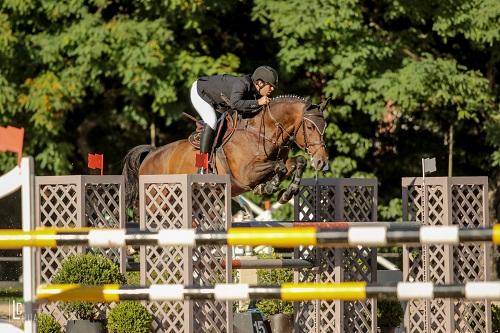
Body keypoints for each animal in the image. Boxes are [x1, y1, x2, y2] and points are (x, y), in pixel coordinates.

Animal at [123, 94, 330, 206]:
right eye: (310, 127)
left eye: (325, 126)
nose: (322, 161)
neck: (261, 132)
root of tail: (151, 154)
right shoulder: (246, 174)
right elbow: (279, 166)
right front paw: (270, 186)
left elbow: (297, 162)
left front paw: (287, 193)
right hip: (156, 199)